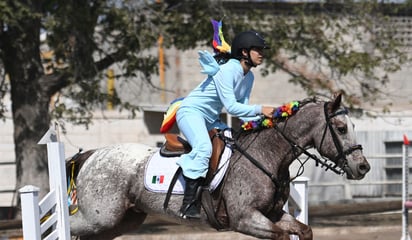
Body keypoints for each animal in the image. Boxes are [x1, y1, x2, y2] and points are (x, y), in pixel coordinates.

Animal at [67, 94, 370, 240]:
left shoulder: (272, 214)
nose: (363, 168)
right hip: (99, 218)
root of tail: (92, 155)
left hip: (121, 220)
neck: (268, 155)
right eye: (341, 128)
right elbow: (282, 235)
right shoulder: (246, 219)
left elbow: (303, 230)